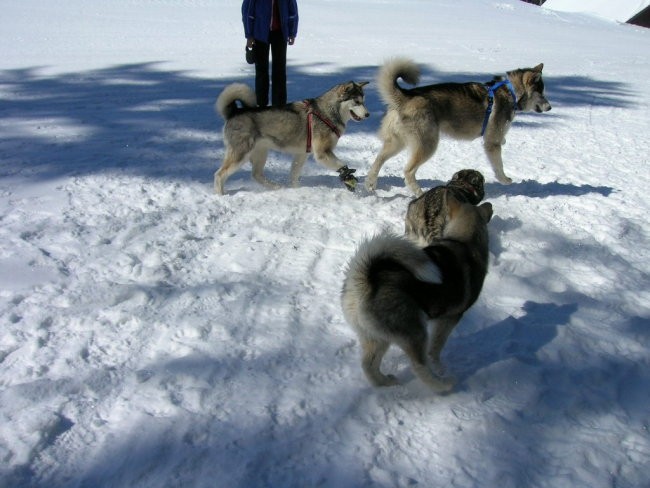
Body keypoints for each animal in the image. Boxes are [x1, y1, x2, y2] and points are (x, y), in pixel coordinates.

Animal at [214, 81, 370, 193]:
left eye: (363, 101)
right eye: (356, 102)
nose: (368, 114)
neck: (327, 113)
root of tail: (234, 112)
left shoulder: (302, 153)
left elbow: (294, 174)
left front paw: (296, 189)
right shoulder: (322, 153)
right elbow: (341, 164)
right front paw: (347, 176)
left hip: (261, 153)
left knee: (256, 175)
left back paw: (276, 187)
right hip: (241, 154)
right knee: (219, 174)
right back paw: (221, 194)